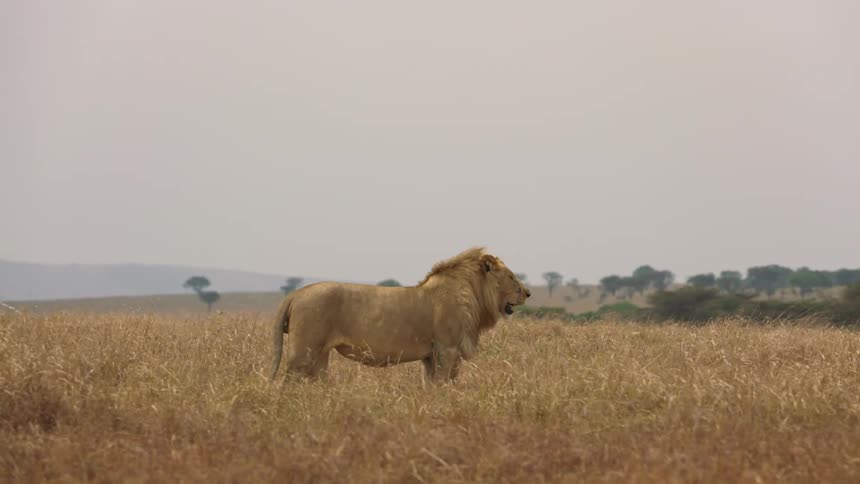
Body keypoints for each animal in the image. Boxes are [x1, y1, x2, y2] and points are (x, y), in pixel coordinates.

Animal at [270, 247, 530, 383]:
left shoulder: (431, 355)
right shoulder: (447, 349)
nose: (528, 293)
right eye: (511, 276)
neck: (475, 296)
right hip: (303, 353)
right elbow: (445, 383)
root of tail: (295, 294)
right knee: (288, 382)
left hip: (320, 356)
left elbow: (432, 384)